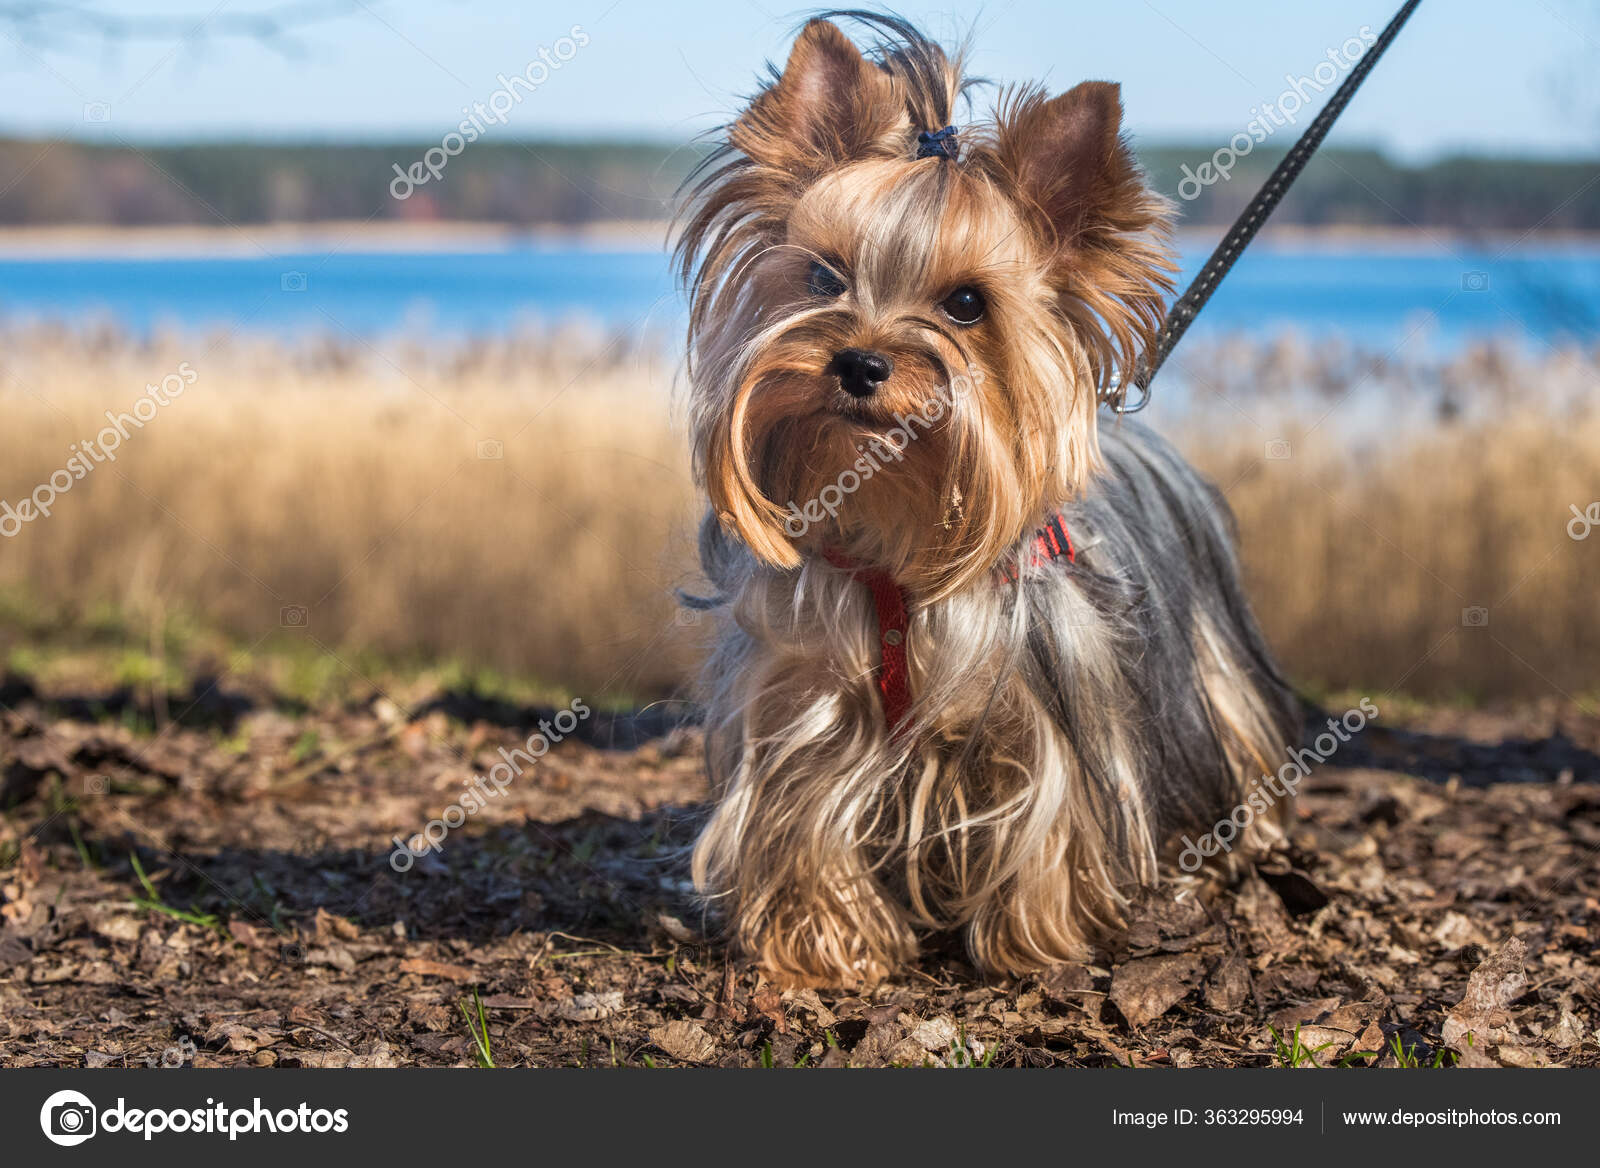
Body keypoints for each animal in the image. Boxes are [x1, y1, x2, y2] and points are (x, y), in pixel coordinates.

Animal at [675, 15, 1299, 985]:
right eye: (823, 278)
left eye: (967, 303)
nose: (859, 362)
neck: (893, 535)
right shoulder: (802, 695)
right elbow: (801, 814)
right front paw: (824, 944)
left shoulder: (1050, 706)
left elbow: (1050, 816)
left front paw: (1033, 942)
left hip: (1211, 668)